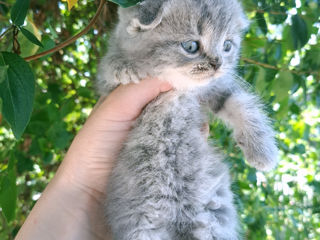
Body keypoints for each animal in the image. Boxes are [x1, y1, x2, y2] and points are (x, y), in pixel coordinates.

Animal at [97, 0, 278, 239]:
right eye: (191, 46)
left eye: (227, 46)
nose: (218, 63)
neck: (179, 89)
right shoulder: (108, 93)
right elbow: (108, 68)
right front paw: (122, 66)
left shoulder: (216, 87)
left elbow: (242, 104)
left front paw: (263, 151)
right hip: (143, 228)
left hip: (213, 220)